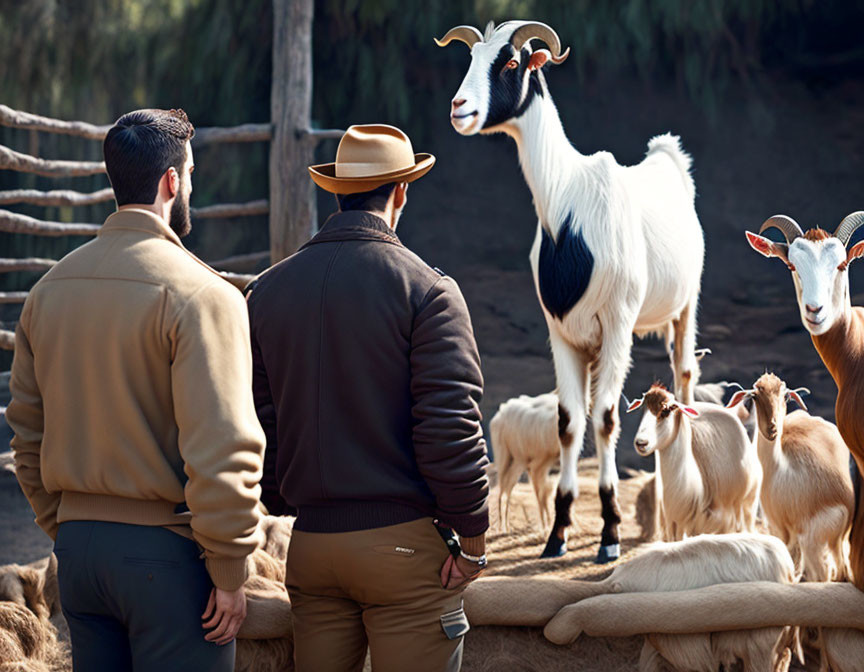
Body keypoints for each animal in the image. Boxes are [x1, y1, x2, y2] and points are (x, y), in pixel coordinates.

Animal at [490, 392, 556, 532]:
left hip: (518, 461)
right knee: (503, 488)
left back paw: (506, 526)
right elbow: (541, 492)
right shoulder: (538, 463)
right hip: (506, 457)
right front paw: (546, 526)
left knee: (508, 486)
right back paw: (502, 527)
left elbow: (544, 491)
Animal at [624, 384, 760, 540]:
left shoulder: (713, 524)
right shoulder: (673, 524)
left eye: (666, 411)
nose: (641, 443)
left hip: (747, 507)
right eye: (643, 409)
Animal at [724, 372, 852, 584]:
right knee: (840, 572)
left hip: (814, 541)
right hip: (832, 542)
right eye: (755, 396)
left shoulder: (781, 528)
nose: (772, 429)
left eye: (785, 396)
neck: (781, 466)